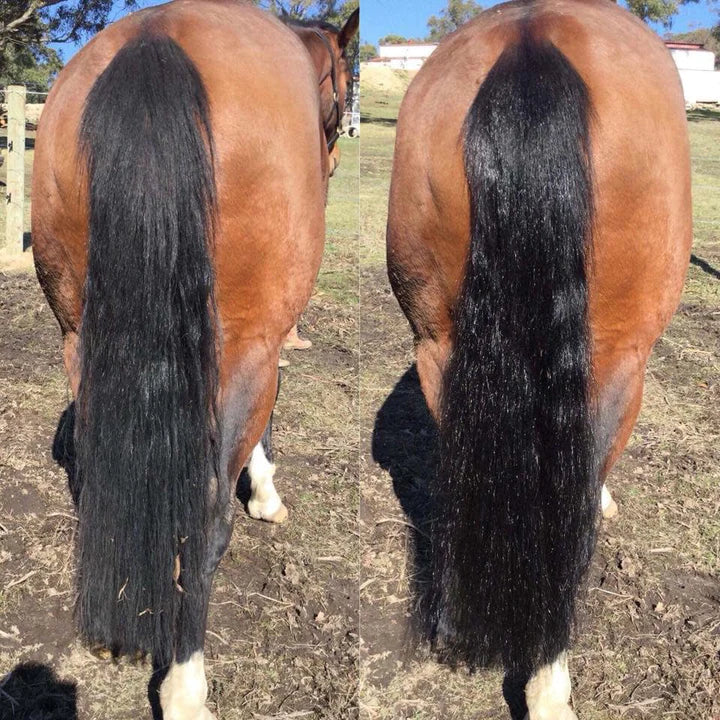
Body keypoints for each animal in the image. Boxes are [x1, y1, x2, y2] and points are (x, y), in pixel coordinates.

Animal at [30, 1, 358, 717]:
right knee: (205, 519)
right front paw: (265, 494)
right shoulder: (260, 346)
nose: (334, 157)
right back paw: (185, 682)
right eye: (342, 86)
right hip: (239, 350)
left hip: (79, 341)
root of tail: (156, 41)